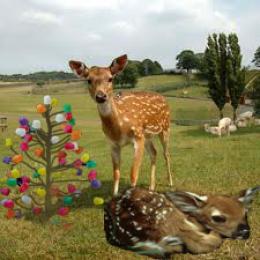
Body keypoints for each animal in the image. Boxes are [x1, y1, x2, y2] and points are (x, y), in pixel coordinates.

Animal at [69, 55, 173, 196]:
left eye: (110, 78)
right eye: (89, 80)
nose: (100, 96)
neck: (118, 129)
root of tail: (164, 98)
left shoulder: (137, 136)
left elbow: (133, 174)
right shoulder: (113, 144)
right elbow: (116, 174)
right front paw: (115, 196)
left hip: (165, 127)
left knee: (166, 153)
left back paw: (170, 183)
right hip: (147, 136)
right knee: (154, 152)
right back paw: (151, 187)